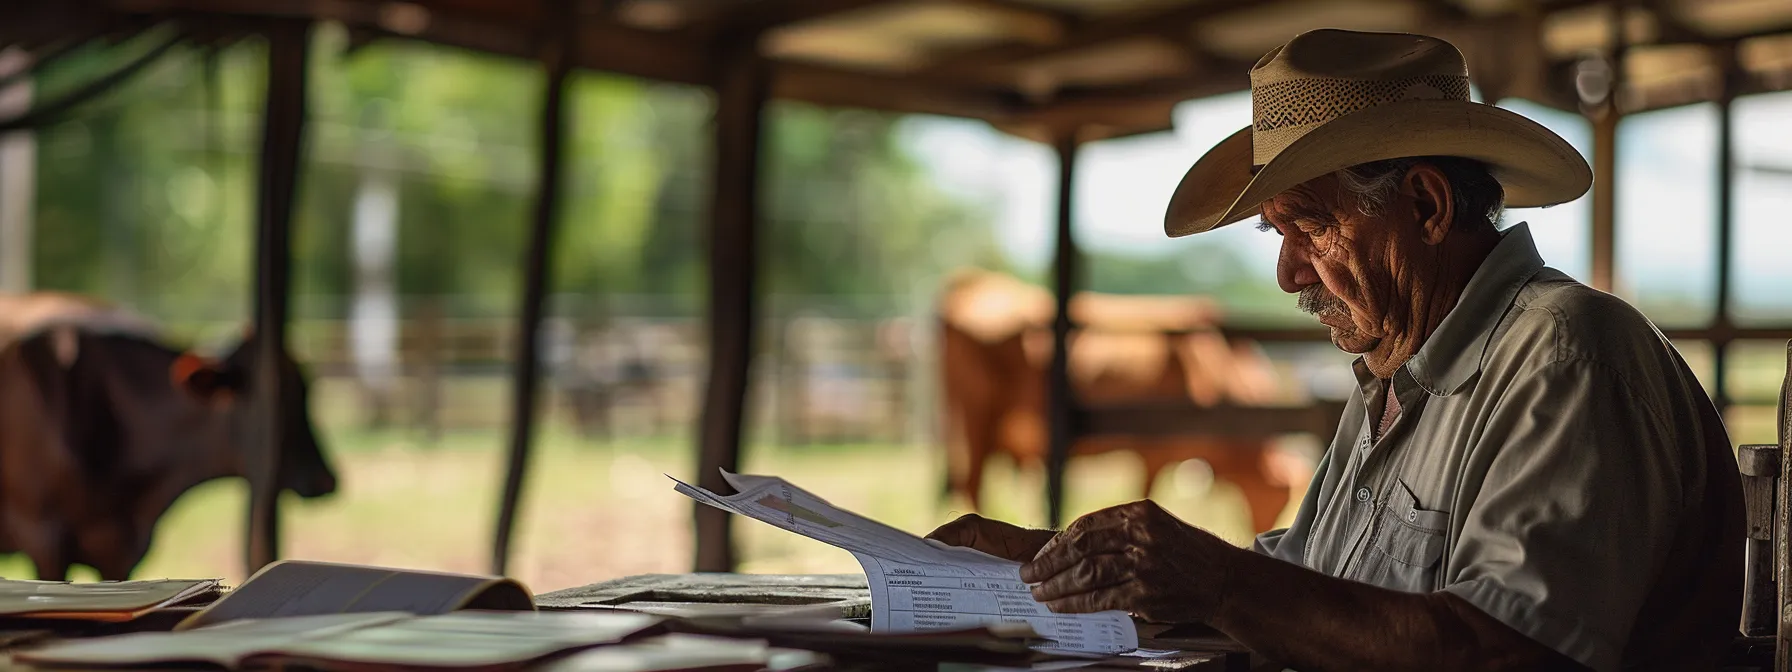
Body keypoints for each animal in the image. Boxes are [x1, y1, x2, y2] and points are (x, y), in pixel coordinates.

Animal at [946, 270, 1311, 534]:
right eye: (1277, 497)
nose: (1260, 532)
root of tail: (973, 281)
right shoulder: (1153, 451)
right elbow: (1147, 492)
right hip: (976, 417)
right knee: (971, 481)